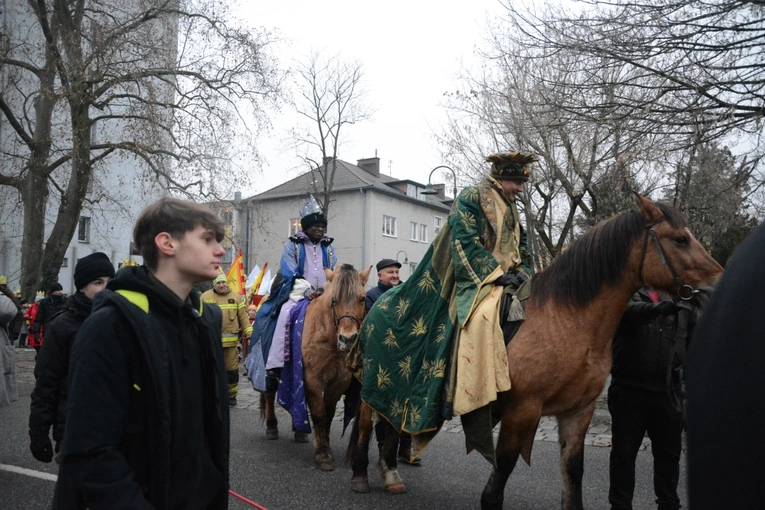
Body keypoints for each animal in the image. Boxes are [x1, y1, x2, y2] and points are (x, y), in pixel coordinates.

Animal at [262, 264, 372, 472]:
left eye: (362, 299)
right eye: (334, 300)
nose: (348, 339)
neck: (327, 337)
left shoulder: (337, 384)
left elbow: (328, 416)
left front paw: (325, 446)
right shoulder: (312, 379)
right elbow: (319, 415)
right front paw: (322, 454)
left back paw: (299, 431)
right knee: (269, 394)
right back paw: (271, 426)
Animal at [346, 194, 724, 506]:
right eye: (680, 239)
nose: (716, 286)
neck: (565, 320)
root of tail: (380, 303)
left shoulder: (578, 412)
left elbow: (573, 477)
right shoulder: (522, 411)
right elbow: (499, 477)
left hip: (401, 389)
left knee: (392, 425)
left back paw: (391, 474)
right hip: (375, 383)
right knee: (366, 423)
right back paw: (362, 475)